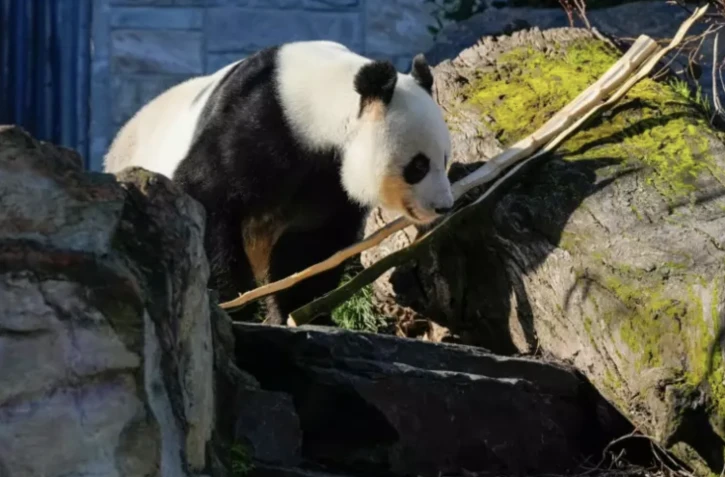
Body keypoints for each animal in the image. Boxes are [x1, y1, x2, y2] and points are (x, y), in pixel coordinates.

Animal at [104, 40, 454, 325]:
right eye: (418, 165)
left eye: (445, 158)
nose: (443, 207)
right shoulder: (255, 121)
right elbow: (208, 198)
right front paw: (233, 304)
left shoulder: (328, 181)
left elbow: (311, 242)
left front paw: (298, 311)